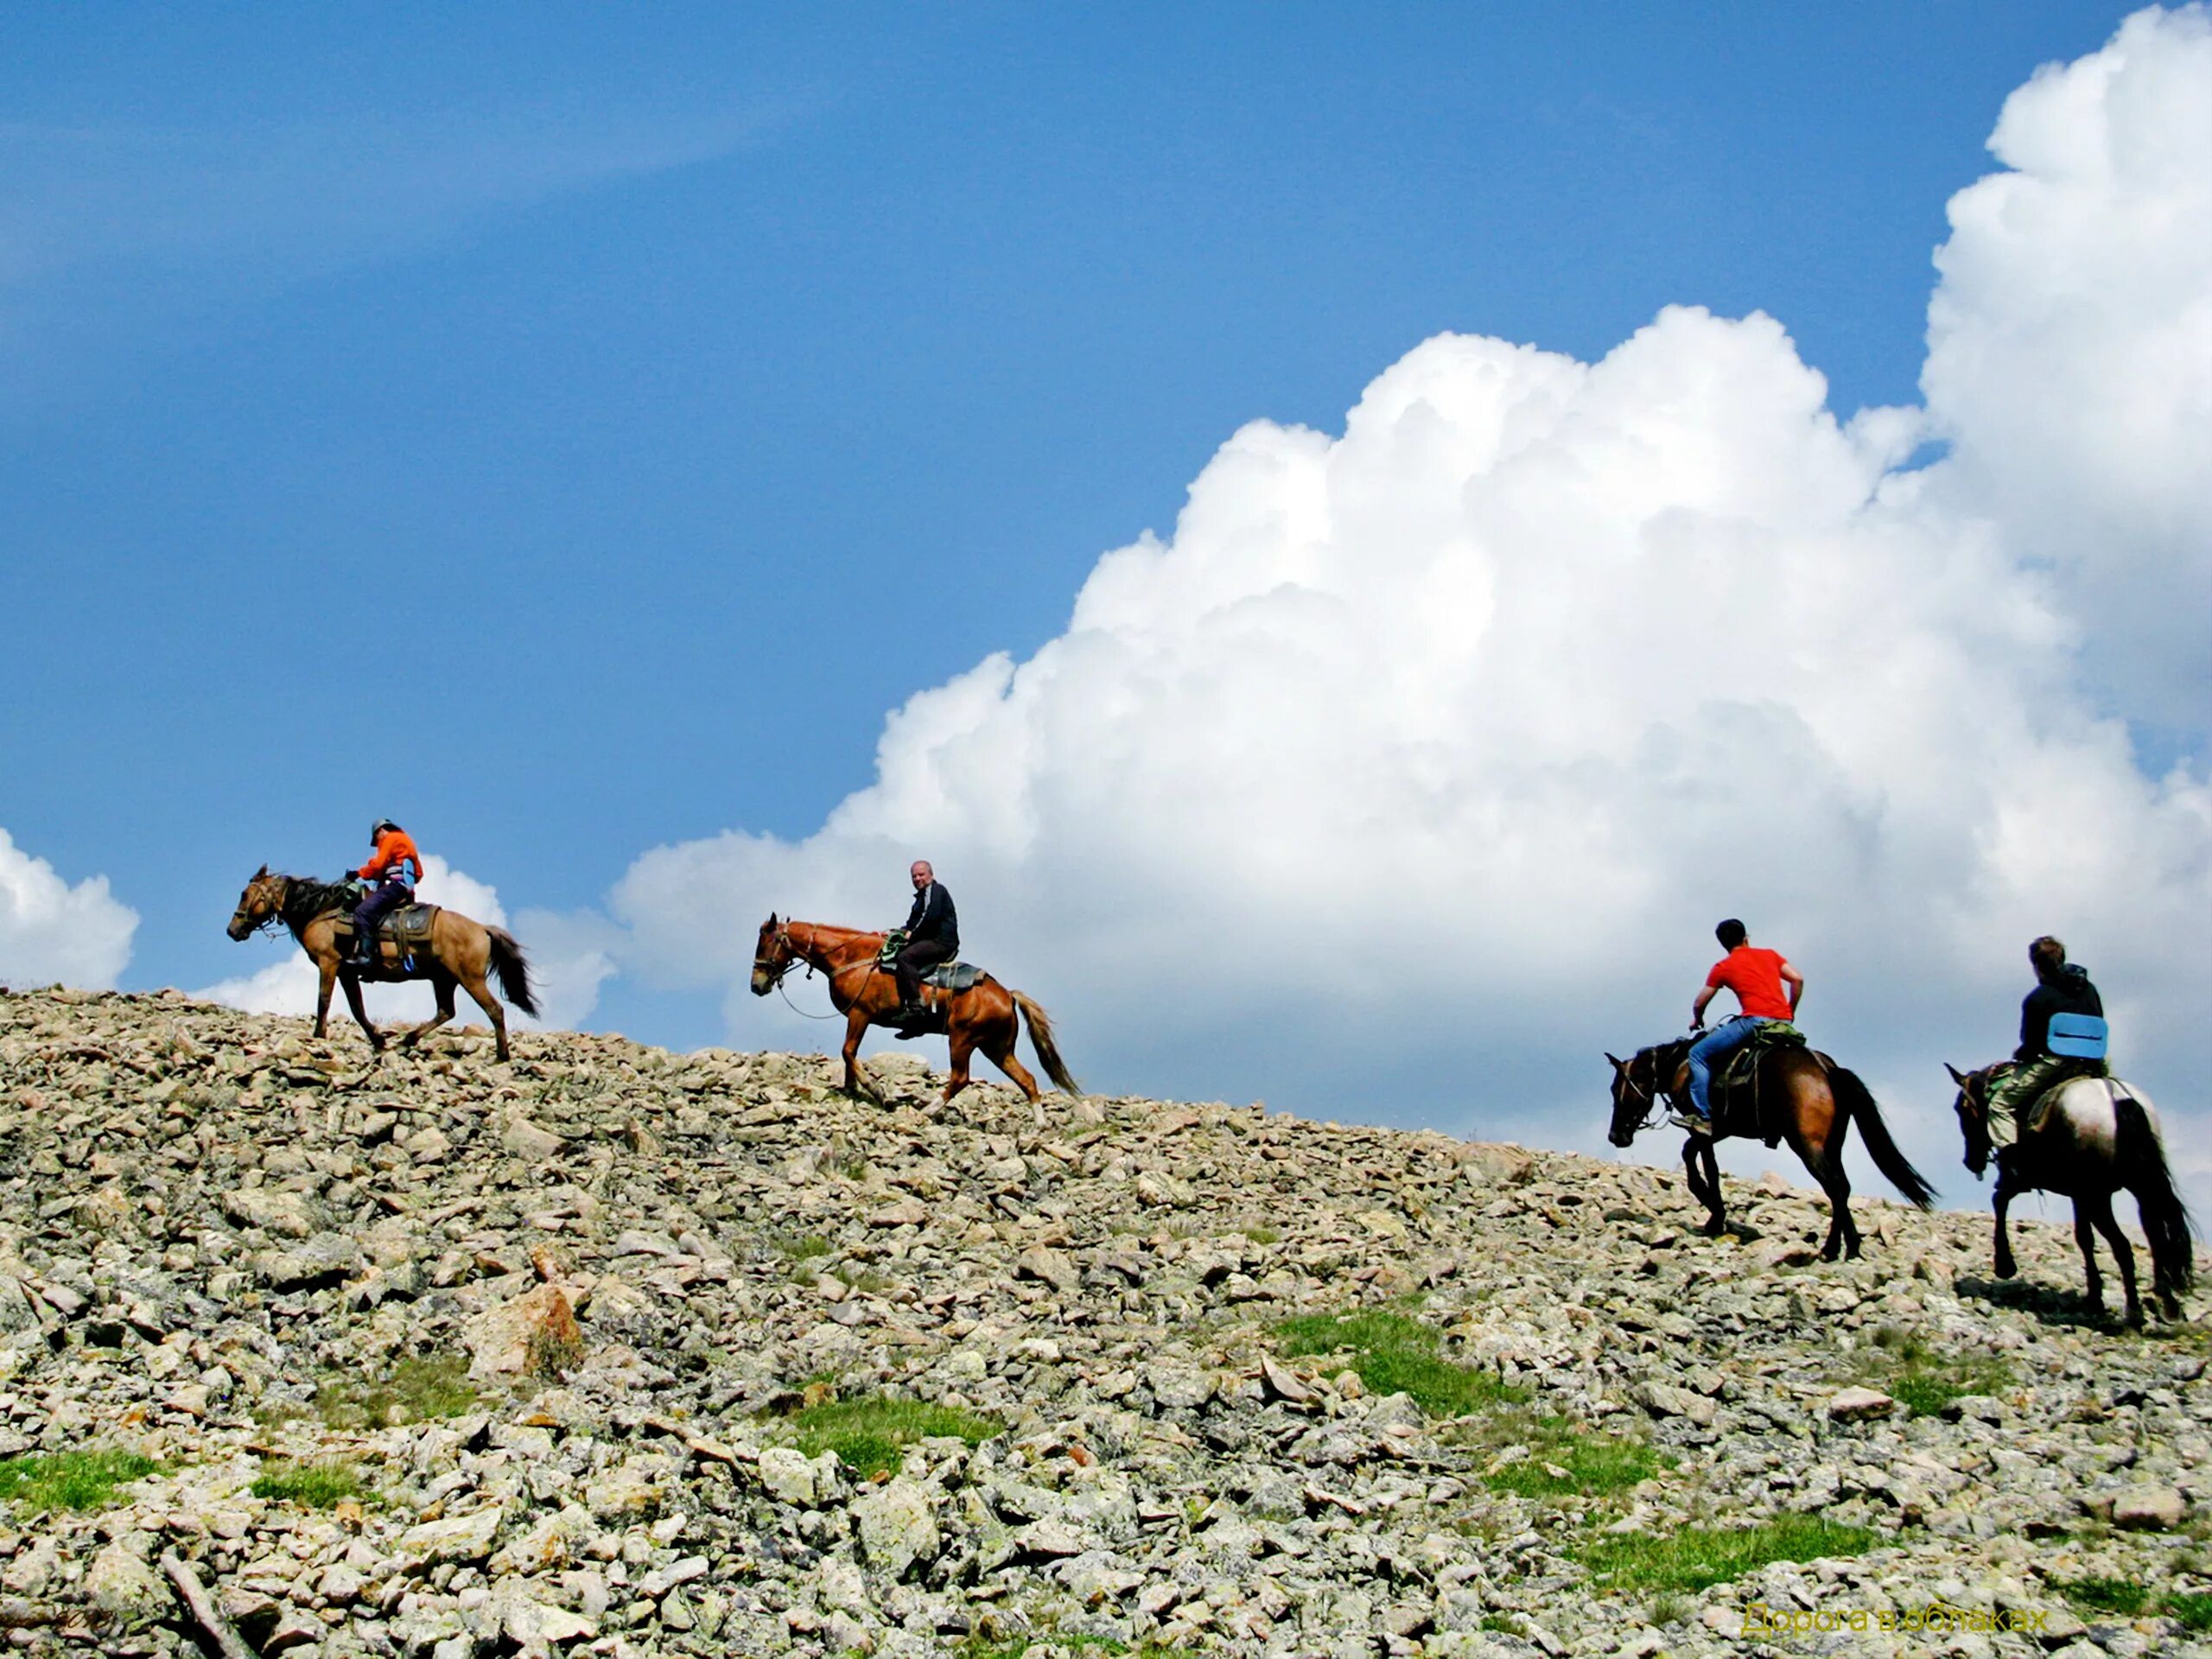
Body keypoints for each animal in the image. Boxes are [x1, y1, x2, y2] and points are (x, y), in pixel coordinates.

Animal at [224, 871, 539, 1065]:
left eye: (244, 894)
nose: (232, 930)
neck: (322, 912)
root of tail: (482, 929)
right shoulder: (347, 972)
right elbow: (357, 1009)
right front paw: (379, 1040)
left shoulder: (329, 963)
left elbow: (324, 1000)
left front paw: (318, 1036)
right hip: (443, 979)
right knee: (445, 1011)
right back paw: (407, 1040)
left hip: (469, 978)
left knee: (494, 1010)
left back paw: (501, 1055)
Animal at [752, 915, 1079, 1110]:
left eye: (765, 942)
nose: (756, 985)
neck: (851, 957)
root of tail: (1007, 995)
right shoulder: (856, 1017)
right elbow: (848, 1056)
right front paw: (851, 1090)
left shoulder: (860, 1014)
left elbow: (848, 1052)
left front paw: (876, 1091)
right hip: (997, 1048)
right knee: (1027, 1080)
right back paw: (1039, 1126)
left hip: (962, 1040)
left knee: (960, 1078)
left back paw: (930, 1109)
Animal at [1610, 1039, 1937, 1256]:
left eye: (1616, 1088)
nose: (1615, 1136)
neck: (1681, 1067)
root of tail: (1826, 1070)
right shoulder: (1721, 1132)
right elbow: (1702, 1162)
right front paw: (1715, 1211)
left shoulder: (1702, 1129)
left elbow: (1699, 1161)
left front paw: (1713, 1212)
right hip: (1832, 1146)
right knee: (1842, 1187)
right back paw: (1849, 1245)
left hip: (1807, 1146)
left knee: (1835, 1187)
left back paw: (1835, 1248)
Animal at [1946, 1071, 2185, 1336]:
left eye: (1960, 1108)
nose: (1970, 1162)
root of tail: (2117, 1099)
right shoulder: (2077, 1195)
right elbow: (2084, 1238)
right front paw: (2094, 1295)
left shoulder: (2028, 1181)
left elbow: (2000, 1200)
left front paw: (2004, 1264)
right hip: (2140, 1186)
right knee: (2156, 1237)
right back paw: (2167, 1304)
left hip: (2097, 1196)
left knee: (2123, 1246)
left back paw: (2134, 1310)